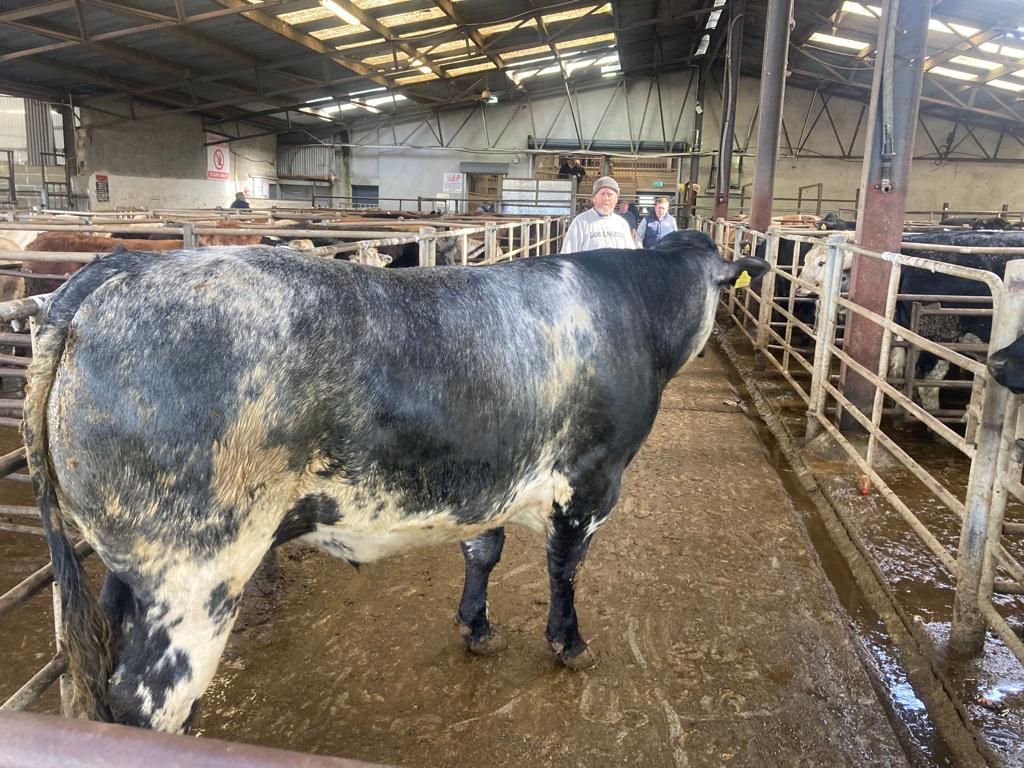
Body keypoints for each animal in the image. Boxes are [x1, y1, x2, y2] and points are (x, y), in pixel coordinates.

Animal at [24, 230, 767, 733]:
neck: (632, 311)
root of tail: (125, 269)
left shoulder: (487, 480)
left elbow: (484, 552)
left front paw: (476, 625)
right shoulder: (589, 483)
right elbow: (564, 571)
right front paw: (569, 642)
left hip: (130, 570)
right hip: (196, 574)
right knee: (149, 700)